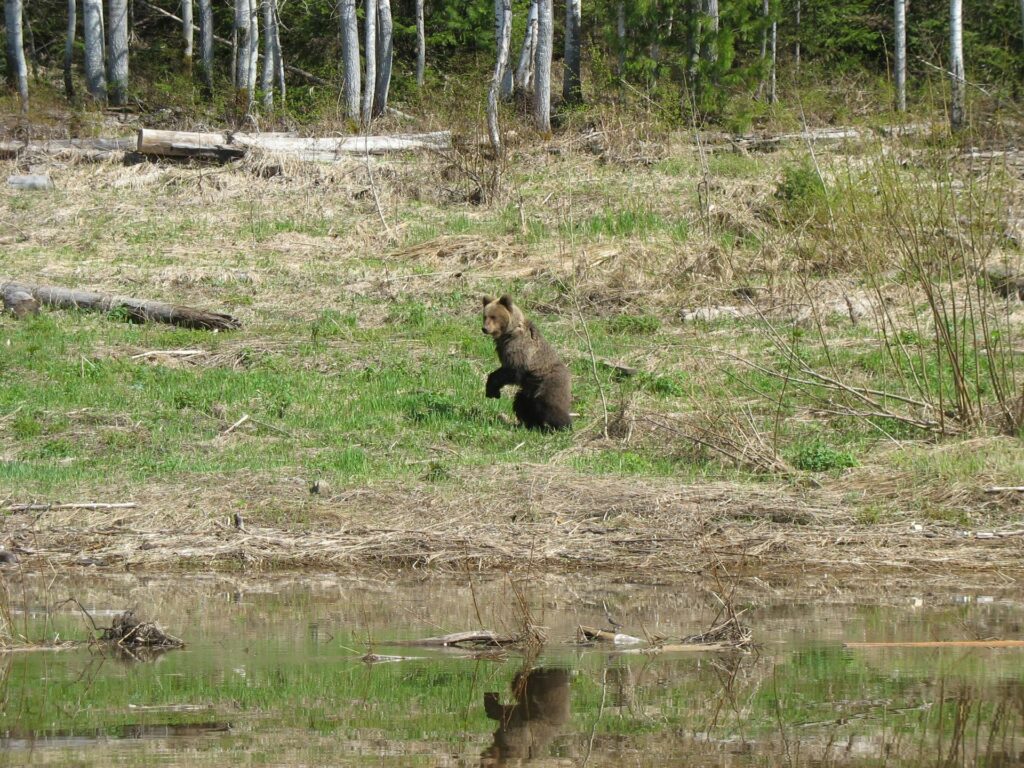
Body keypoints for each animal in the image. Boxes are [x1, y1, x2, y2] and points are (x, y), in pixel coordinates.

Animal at [481, 296, 573, 434]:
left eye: (494, 316)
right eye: (484, 316)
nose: (485, 328)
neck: (508, 333)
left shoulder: (519, 351)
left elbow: (510, 371)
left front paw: (493, 391)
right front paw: (492, 391)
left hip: (548, 383)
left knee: (552, 406)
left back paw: (563, 427)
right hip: (529, 390)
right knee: (522, 403)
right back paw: (532, 424)